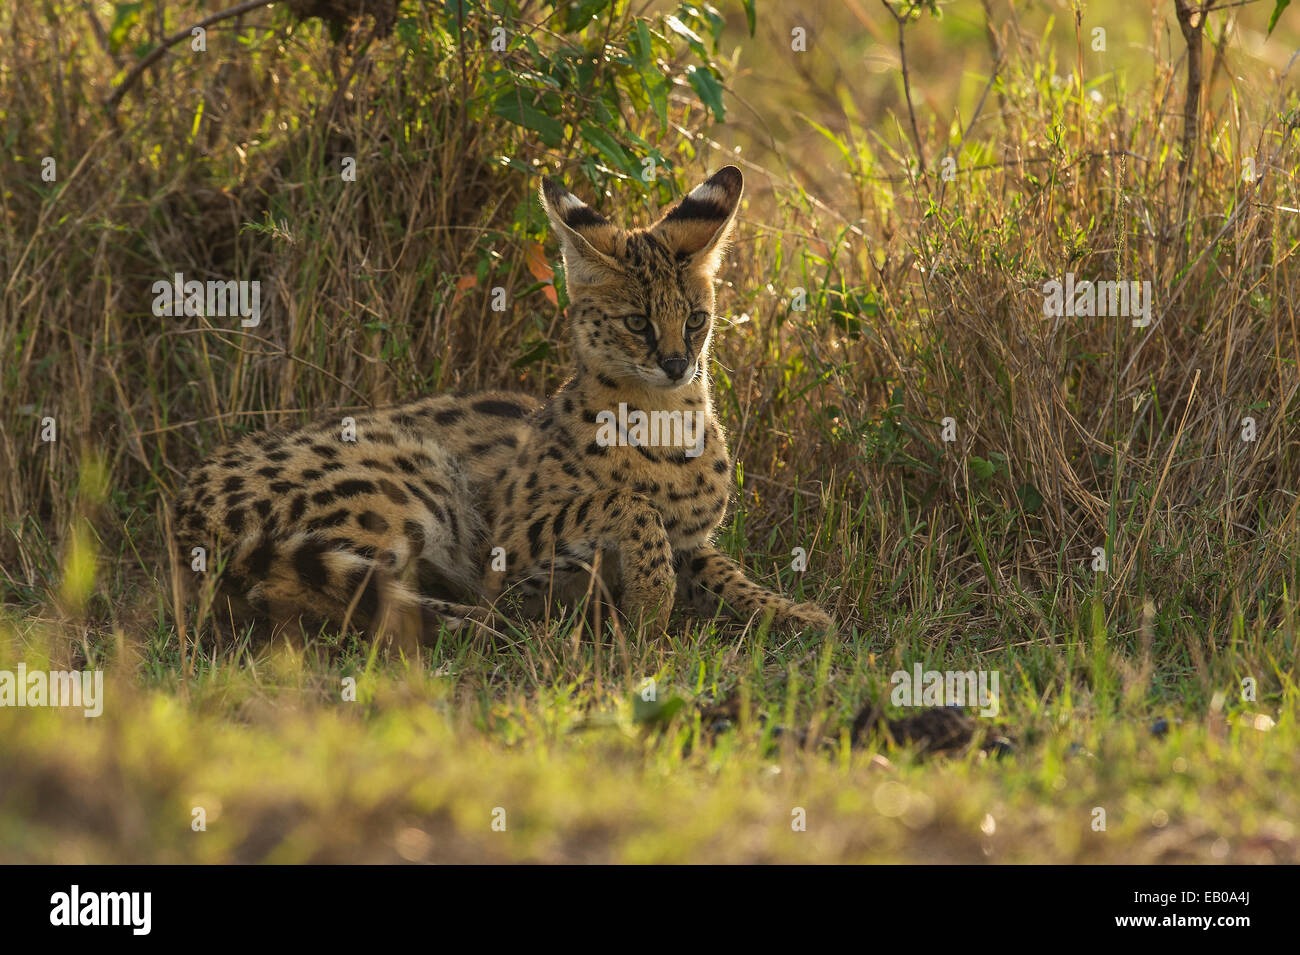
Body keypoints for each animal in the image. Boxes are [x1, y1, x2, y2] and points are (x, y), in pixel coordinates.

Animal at [175, 167, 832, 654]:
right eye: (637, 322)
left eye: (695, 319)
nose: (677, 364)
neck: (668, 418)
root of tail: (187, 508)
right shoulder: (511, 550)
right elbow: (625, 503)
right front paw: (650, 606)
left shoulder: (692, 541)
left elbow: (724, 570)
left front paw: (793, 612)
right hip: (412, 477)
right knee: (333, 597)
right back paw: (486, 627)